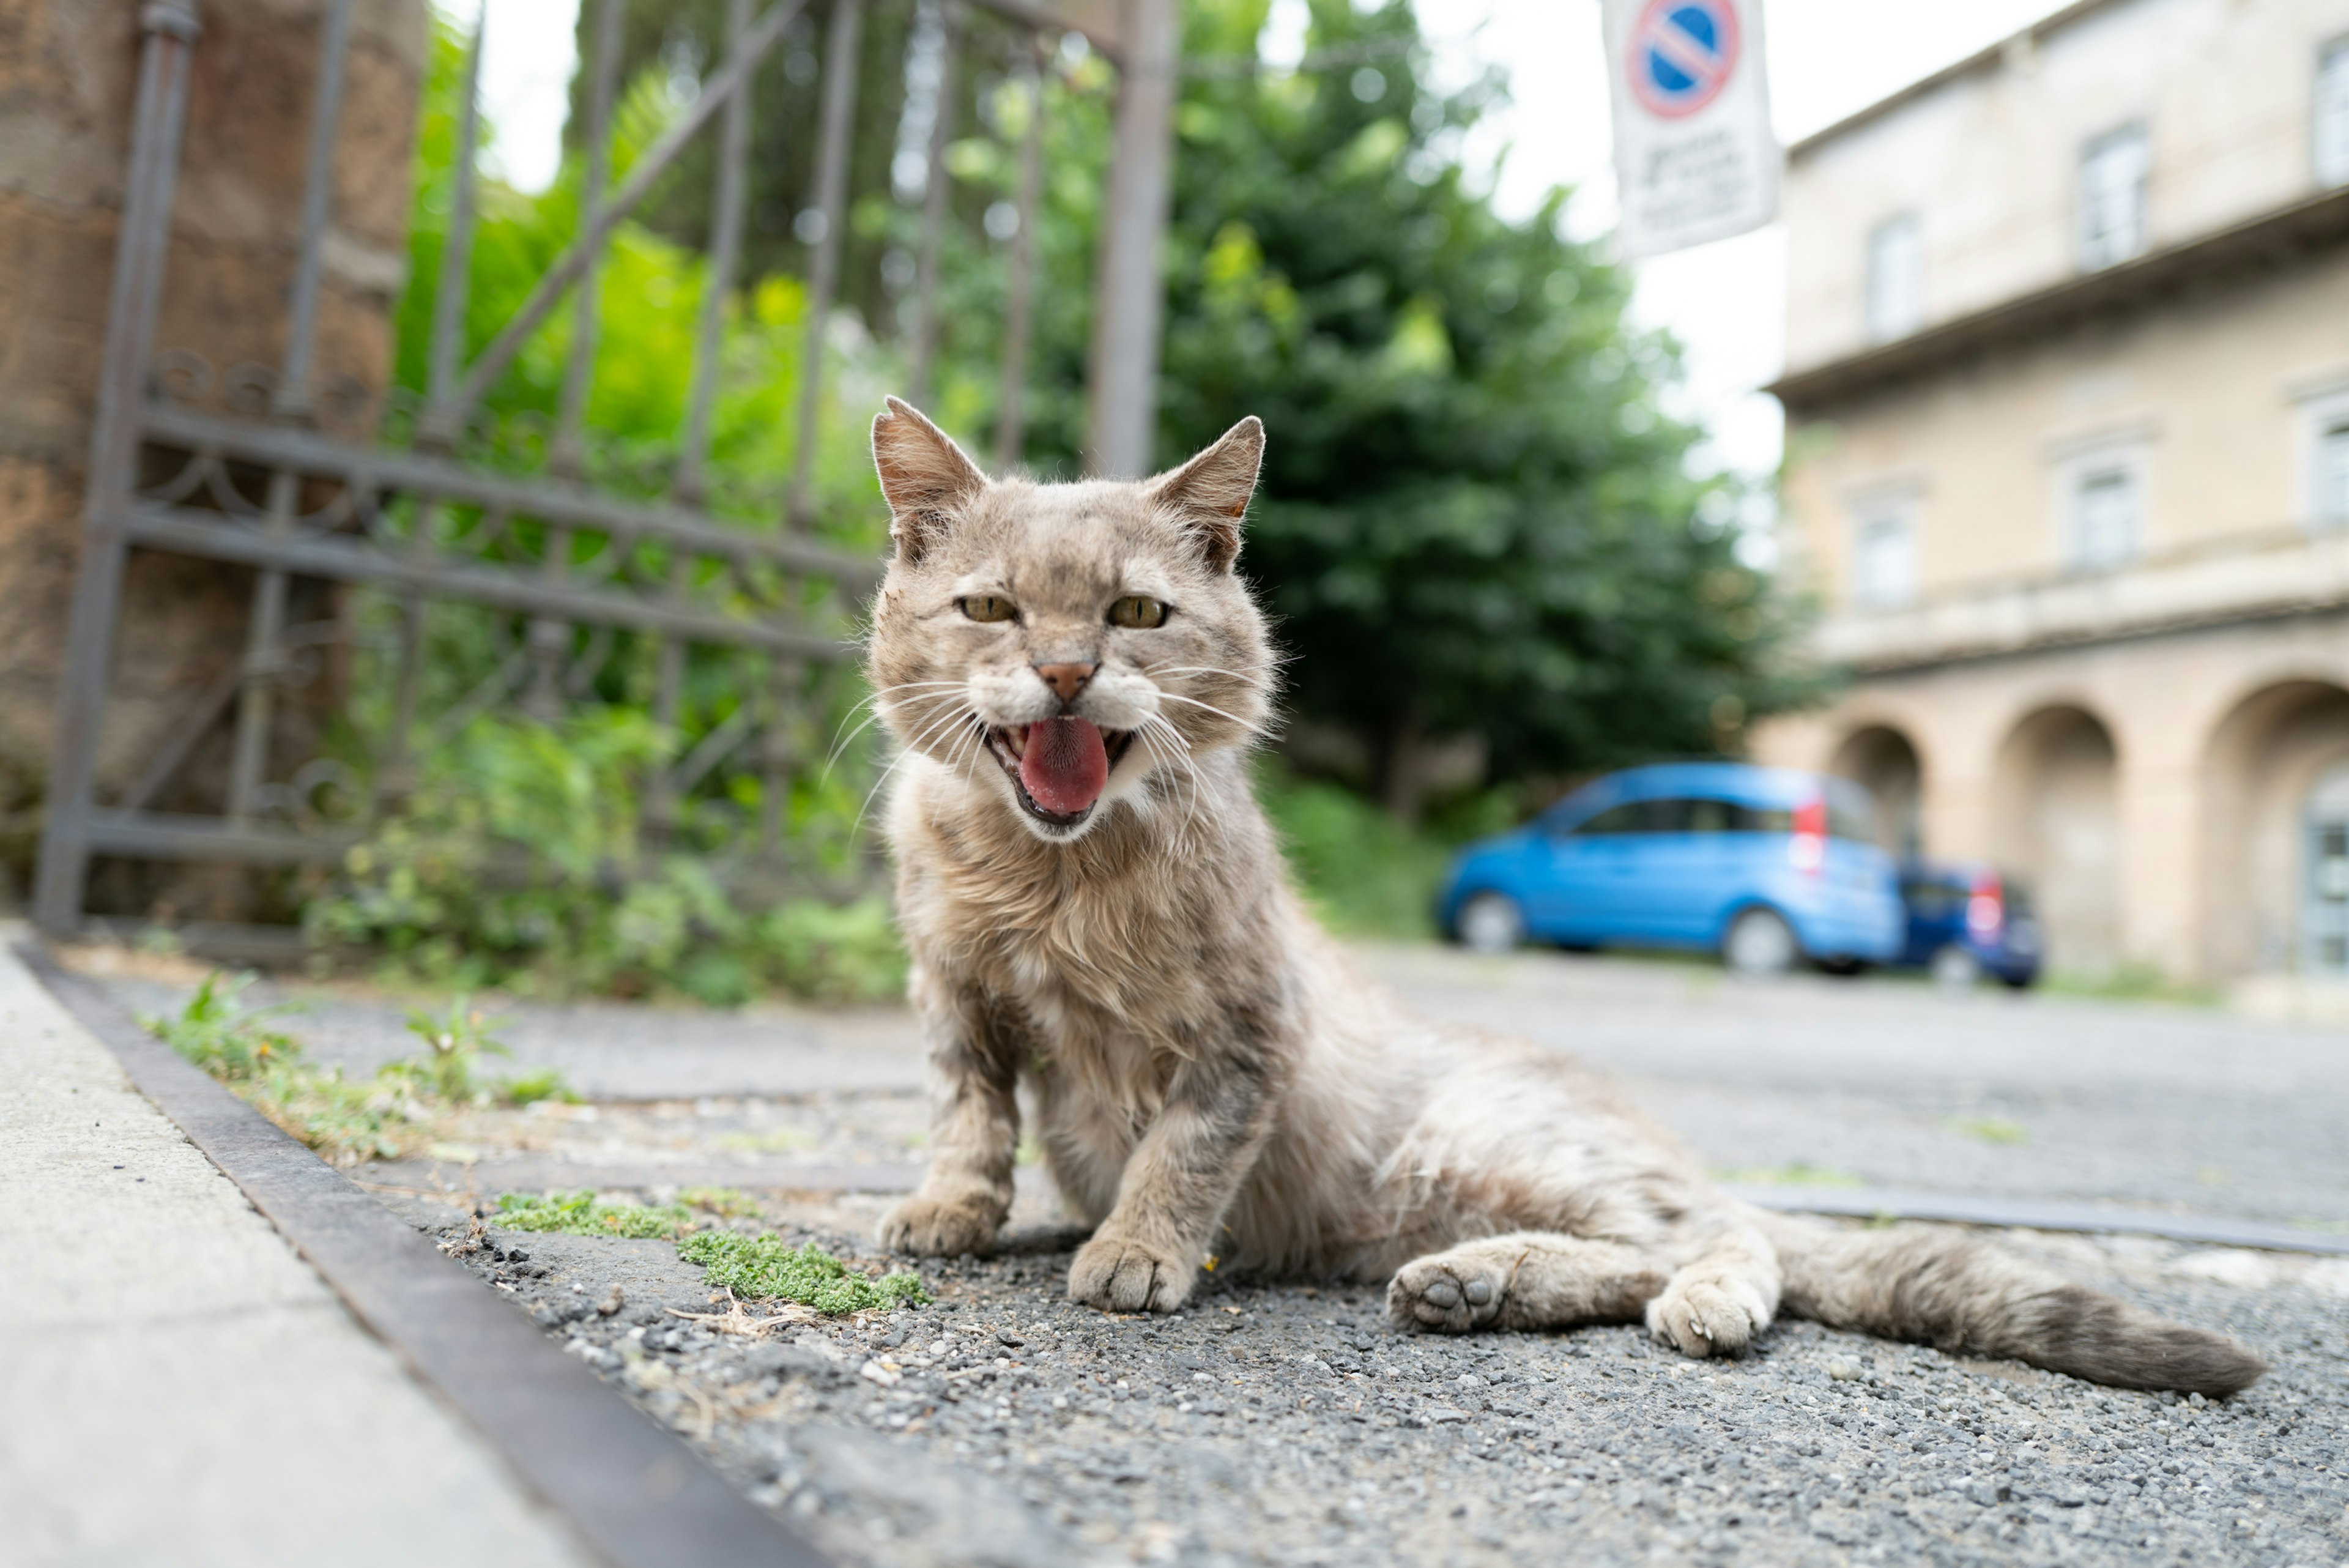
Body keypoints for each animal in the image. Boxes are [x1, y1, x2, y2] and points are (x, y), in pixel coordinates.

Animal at [864, 402, 2255, 1401]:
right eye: (990, 607)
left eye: (1138, 611)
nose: (1064, 671)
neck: (1055, 877)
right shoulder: (952, 998)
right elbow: (966, 1114)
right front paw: (954, 1209)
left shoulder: (1245, 1035)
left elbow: (1183, 1149)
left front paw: (1137, 1247)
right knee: (1651, 1246)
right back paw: (1475, 1287)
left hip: (1493, 1147)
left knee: (1721, 1233)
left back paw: (1668, 1295)